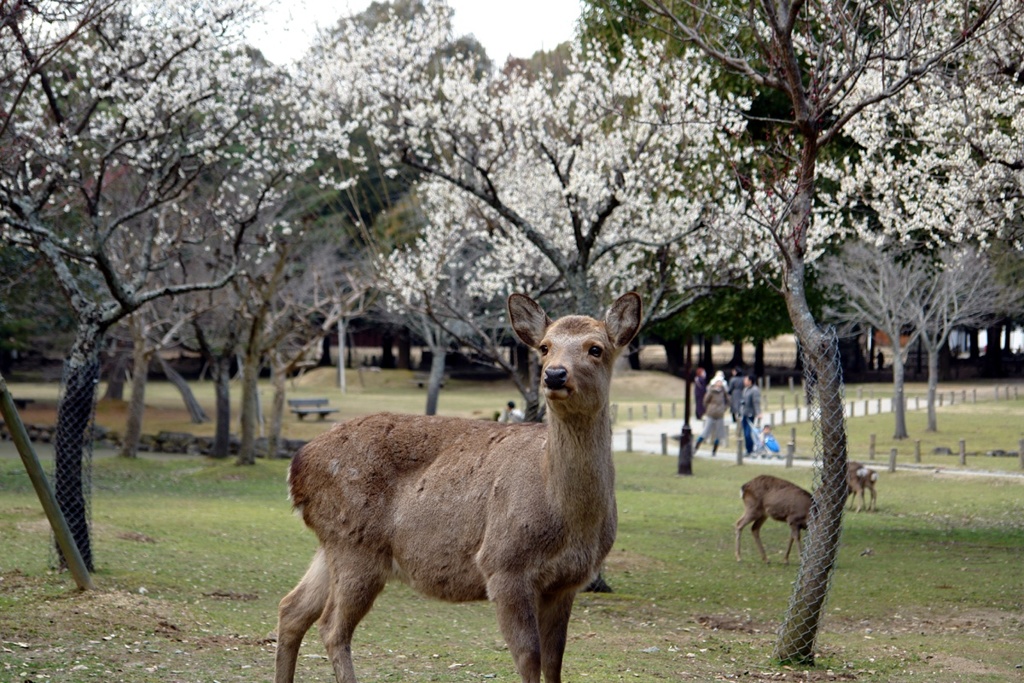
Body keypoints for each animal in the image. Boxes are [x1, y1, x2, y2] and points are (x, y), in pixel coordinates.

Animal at [272, 292, 638, 683]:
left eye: (596, 348)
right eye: (544, 347)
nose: (554, 374)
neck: (568, 517)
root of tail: (296, 468)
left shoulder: (567, 582)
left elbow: (555, 661)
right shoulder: (502, 563)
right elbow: (530, 658)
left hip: (332, 544)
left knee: (291, 608)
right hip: (356, 546)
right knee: (331, 628)